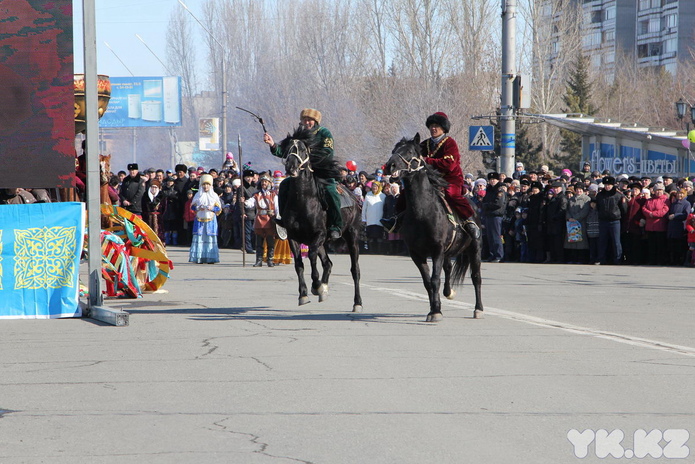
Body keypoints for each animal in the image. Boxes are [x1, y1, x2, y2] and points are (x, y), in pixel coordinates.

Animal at [278, 128, 364, 312]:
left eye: (303, 150)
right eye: (288, 149)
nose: (291, 167)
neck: (303, 200)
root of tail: (354, 199)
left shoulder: (318, 235)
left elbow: (311, 256)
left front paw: (316, 284)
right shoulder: (293, 237)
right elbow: (299, 264)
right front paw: (304, 294)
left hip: (351, 236)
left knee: (355, 270)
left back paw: (357, 303)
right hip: (324, 242)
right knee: (328, 263)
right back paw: (323, 289)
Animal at [380, 134, 484, 320]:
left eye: (410, 151)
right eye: (394, 150)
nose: (389, 166)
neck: (422, 213)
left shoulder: (437, 251)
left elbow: (435, 280)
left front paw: (436, 312)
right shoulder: (416, 254)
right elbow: (428, 282)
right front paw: (434, 308)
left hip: (474, 248)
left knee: (476, 277)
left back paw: (478, 309)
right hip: (449, 252)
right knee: (448, 269)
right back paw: (449, 292)